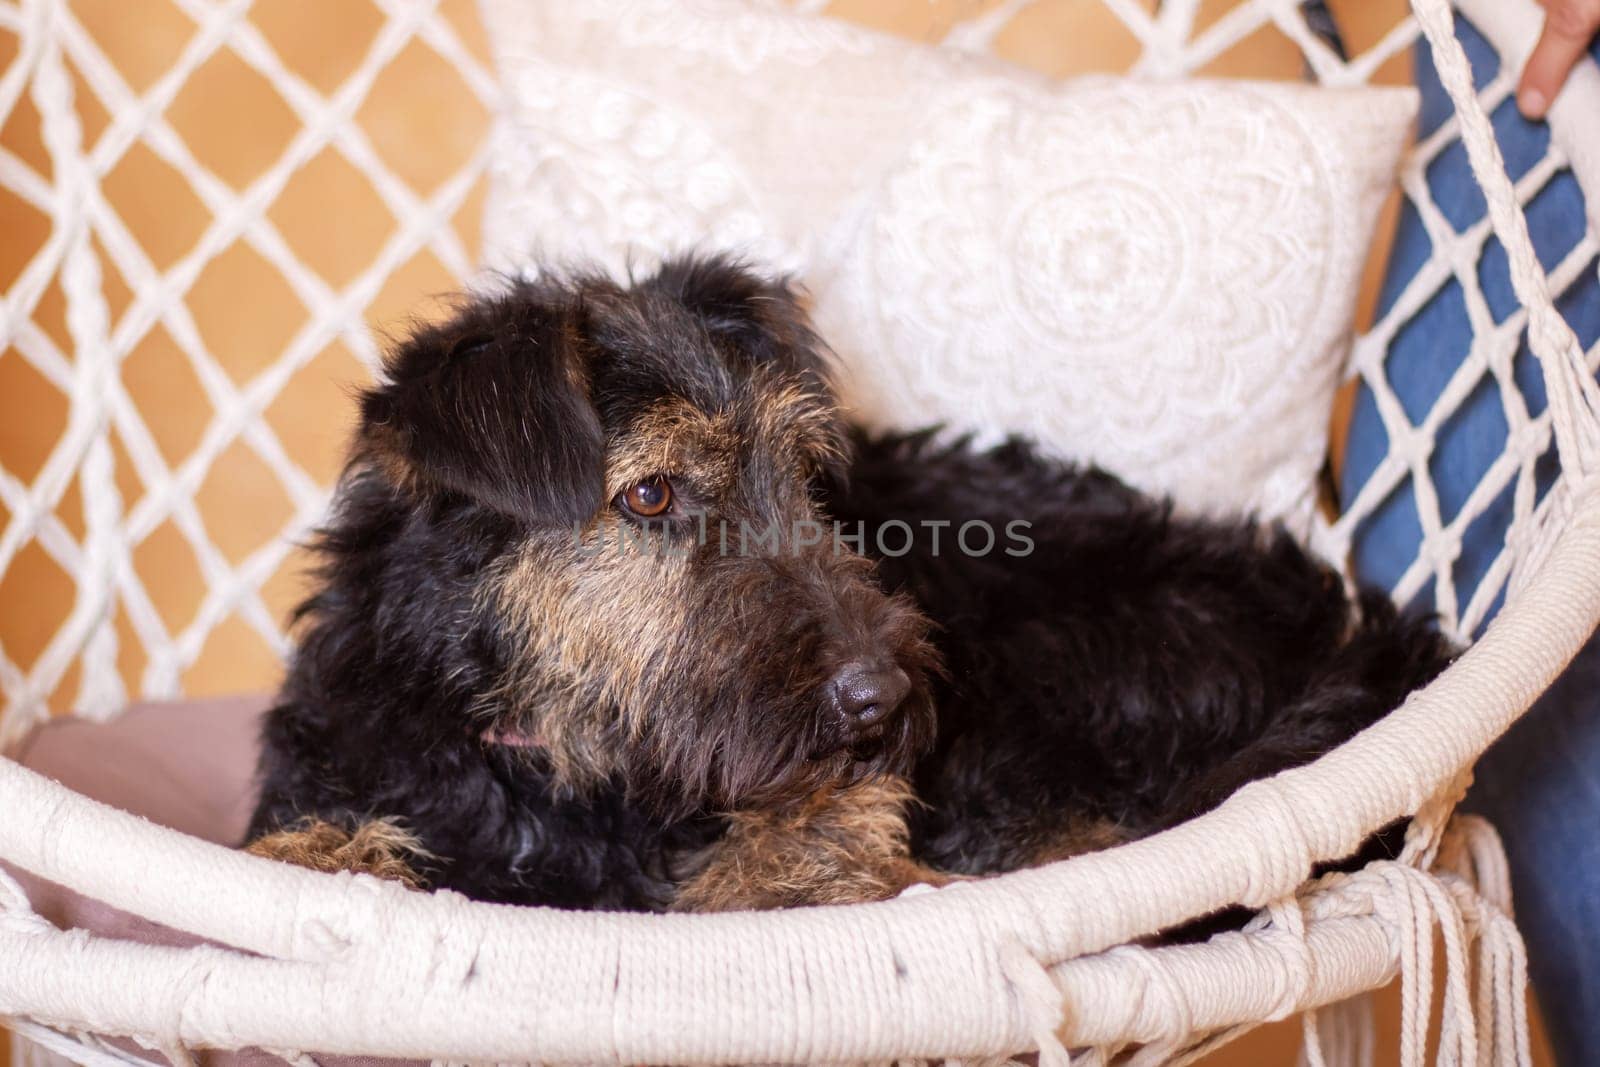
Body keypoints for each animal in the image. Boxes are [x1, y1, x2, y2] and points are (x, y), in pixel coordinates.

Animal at [243, 252, 1459, 908]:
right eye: (650, 494)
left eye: (800, 474)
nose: (880, 698)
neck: (558, 764)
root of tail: (1354, 634)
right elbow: (312, 846)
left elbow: (787, 856)